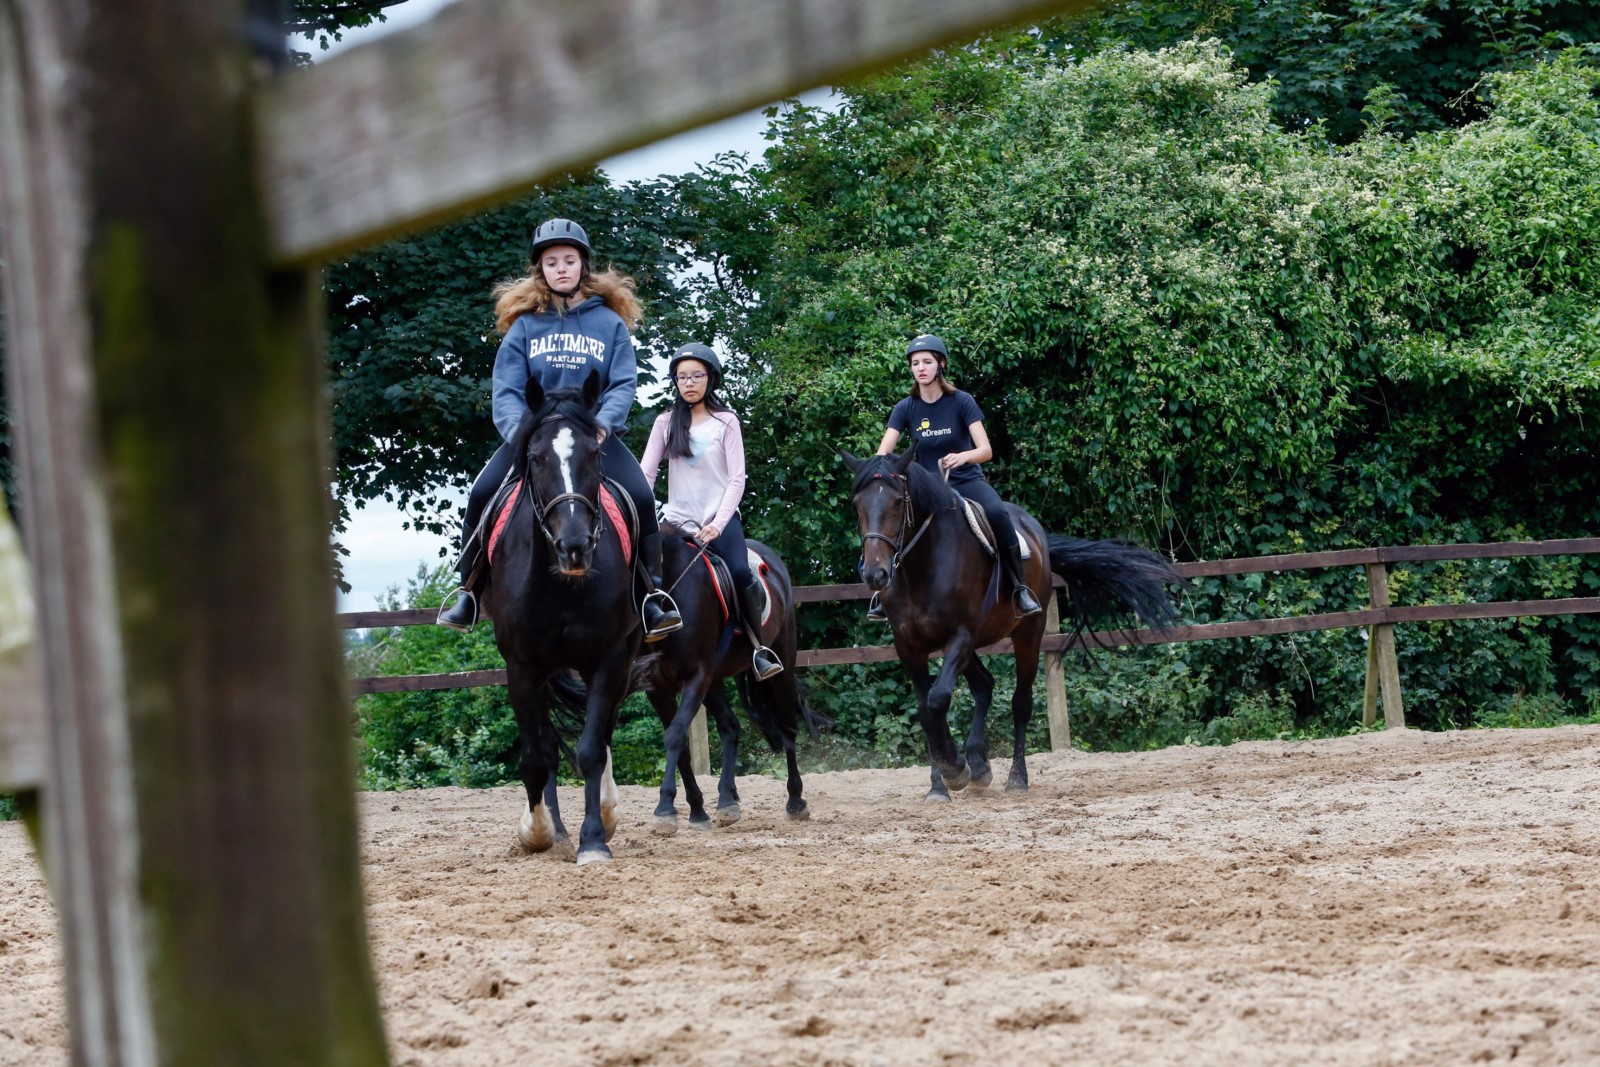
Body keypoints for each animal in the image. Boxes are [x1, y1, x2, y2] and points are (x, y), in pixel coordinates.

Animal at [480, 371, 643, 863]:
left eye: (594, 454)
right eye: (535, 458)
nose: (574, 547)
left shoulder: (608, 659)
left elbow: (591, 749)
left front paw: (594, 839)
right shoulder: (522, 667)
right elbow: (536, 755)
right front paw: (537, 831)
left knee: (602, 735)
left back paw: (603, 814)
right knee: (548, 742)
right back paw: (556, 828)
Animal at [640, 524, 825, 831]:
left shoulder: (696, 676)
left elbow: (675, 736)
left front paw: (665, 808)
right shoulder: (658, 688)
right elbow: (682, 746)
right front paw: (696, 810)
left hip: (781, 665)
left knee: (788, 728)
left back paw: (795, 800)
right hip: (714, 682)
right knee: (731, 726)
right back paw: (728, 799)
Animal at [844, 444, 1184, 799]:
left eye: (898, 501)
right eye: (857, 504)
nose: (875, 574)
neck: (923, 568)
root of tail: (1036, 532)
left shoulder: (961, 635)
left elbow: (938, 699)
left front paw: (954, 769)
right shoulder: (909, 645)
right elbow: (925, 709)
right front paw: (941, 784)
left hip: (1027, 635)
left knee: (1021, 702)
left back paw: (1015, 778)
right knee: (984, 685)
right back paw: (978, 764)